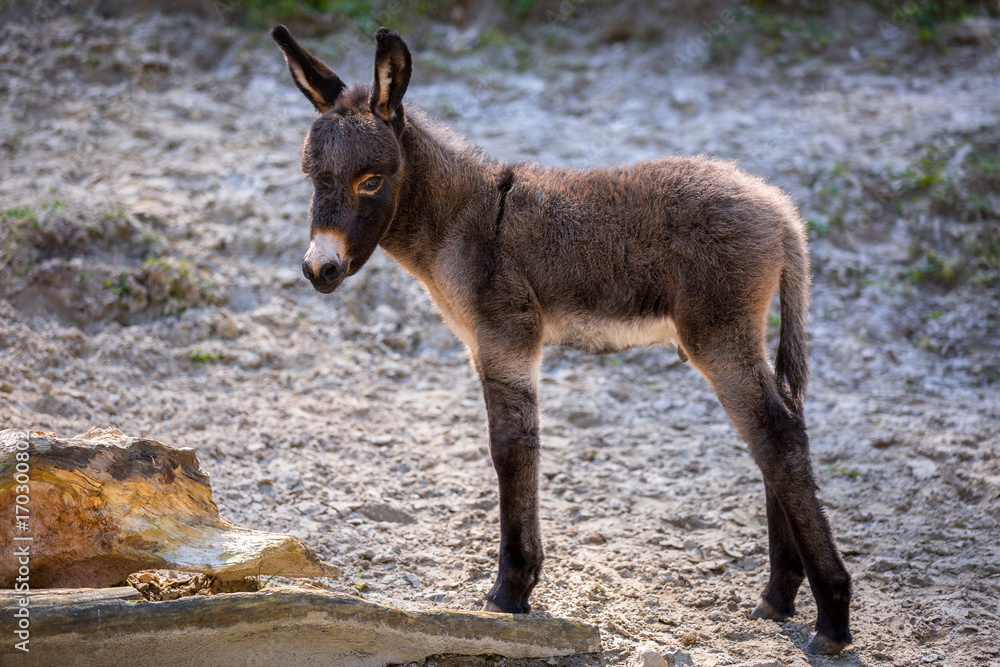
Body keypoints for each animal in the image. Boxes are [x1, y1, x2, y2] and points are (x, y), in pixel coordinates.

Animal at [272, 24, 852, 652]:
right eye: (312, 178)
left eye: (371, 181)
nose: (319, 269)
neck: (464, 221)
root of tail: (781, 210)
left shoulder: (504, 339)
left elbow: (512, 448)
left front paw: (510, 590)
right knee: (776, 430)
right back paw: (779, 596)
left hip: (718, 335)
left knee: (776, 436)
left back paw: (832, 617)